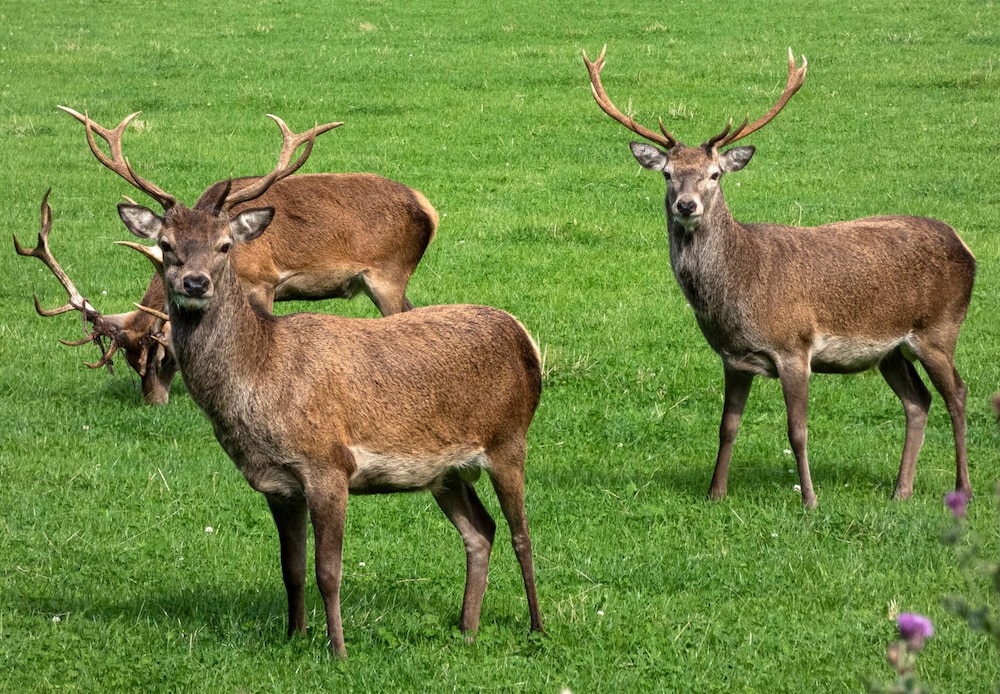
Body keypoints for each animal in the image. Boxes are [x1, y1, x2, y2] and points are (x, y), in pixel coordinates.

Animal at [14, 106, 438, 406]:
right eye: (165, 244)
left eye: (162, 356)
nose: (153, 402)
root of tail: (428, 209)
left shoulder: (265, 281)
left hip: (388, 274)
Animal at [73, 113, 544, 656]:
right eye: (166, 246)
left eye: (225, 246)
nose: (195, 283)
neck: (262, 380)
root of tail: (526, 342)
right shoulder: (277, 486)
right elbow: (291, 569)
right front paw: (294, 636)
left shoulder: (329, 466)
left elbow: (328, 571)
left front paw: (337, 650)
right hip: (445, 472)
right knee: (481, 530)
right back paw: (467, 628)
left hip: (509, 439)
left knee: (521, 534)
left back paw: (536, 626)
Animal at [584, 46, 976, 508]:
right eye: (667, 174)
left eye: (714, 174)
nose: (686, 205)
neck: (739, 289)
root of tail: (965, 246)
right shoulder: (733, 359)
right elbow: (727, 426)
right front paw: (715, 492)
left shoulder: (795, 347)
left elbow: (797, 431)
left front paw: (810, 500)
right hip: (891, 350)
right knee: (918, 401)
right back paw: (901, 490)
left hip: (939, 329)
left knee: (957, 395)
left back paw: (962, 488)